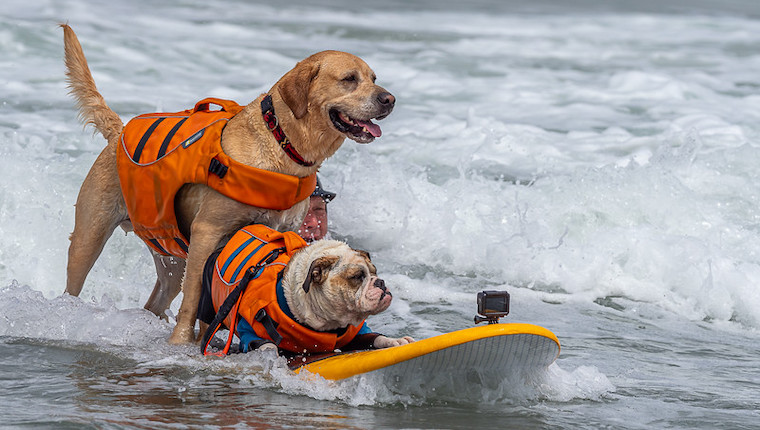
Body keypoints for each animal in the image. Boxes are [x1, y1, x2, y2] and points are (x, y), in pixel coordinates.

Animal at [61, 25, 394, 344]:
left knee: (156, 300)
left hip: (172, 256)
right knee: (72, 286)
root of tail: (118, 132)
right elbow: (193, 299)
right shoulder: (207, 233)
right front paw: (182, 343)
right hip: (89, 237)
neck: (281, 144)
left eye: (374, 78)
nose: (389, 99)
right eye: (349, 79)